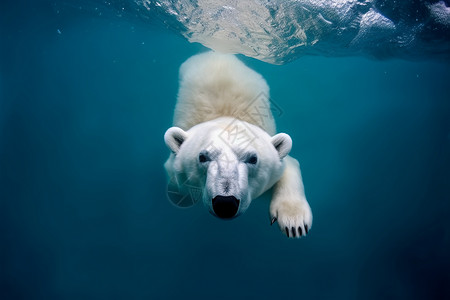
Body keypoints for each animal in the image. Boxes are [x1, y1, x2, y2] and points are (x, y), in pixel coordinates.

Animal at [164, 52, 312, 239]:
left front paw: (294, 221)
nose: (225, 203)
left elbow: (289, 164)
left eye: (253, 159)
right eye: (202, 157)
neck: (226, 116)